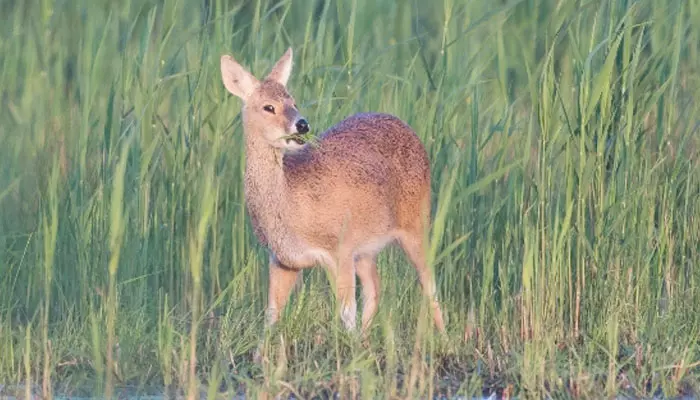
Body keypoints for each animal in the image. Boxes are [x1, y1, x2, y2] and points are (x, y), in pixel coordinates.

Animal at [220, 46, 448, 334]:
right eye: (268, 107)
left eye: (293, 102)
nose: (302, 124)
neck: (290, 205)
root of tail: (406, 127)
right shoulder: (283, 260)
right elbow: (271, 316)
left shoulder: (340, 249)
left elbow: (346, 313)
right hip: (366, 247)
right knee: (376, 288)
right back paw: (366, 338)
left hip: (416, 222)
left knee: (429, 283)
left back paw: (443, 337)